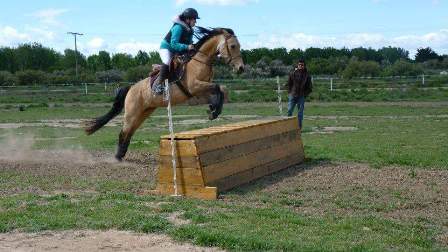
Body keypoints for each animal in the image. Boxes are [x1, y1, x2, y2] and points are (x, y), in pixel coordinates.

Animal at [84, 27, 245, 160]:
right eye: (233, 46)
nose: (241, 68)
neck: (200, 61)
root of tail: (130, 88)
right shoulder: (194, 87)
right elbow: (218, 87)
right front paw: (214, 111)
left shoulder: (199, 92)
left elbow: (220, 90)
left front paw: (213, 110)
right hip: (131, 112)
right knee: (123, 131)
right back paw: (118, 157)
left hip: (144, 112)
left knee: (130, 131)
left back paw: (121, 154)